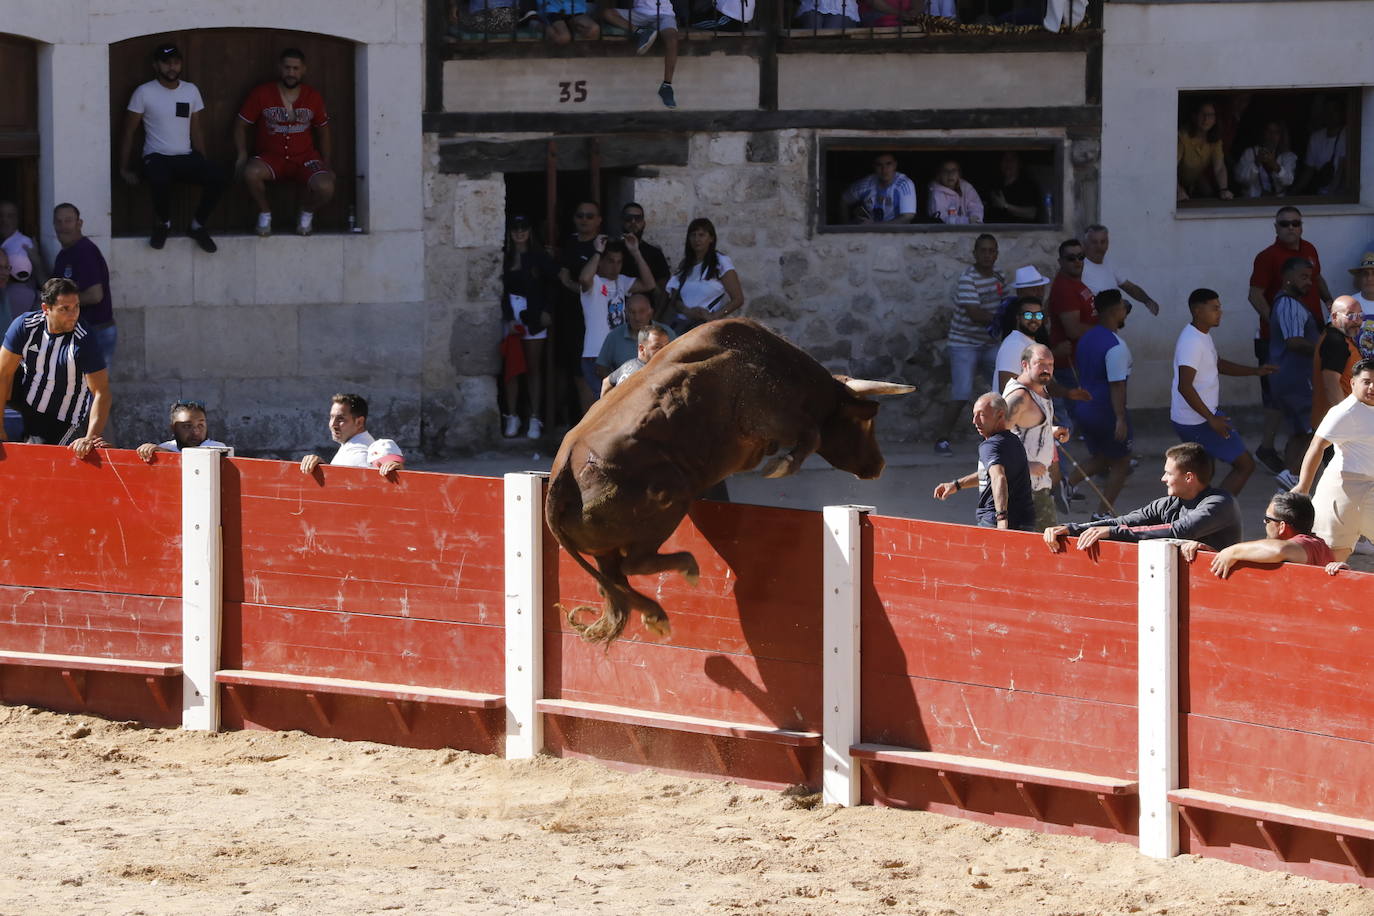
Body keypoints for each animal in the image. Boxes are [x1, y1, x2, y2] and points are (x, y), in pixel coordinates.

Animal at [544, 318, 912, 648]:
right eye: (864, 422)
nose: (878, 466)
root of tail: (562, 477)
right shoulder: (770, 418)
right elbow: (811, 434)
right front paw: (780, 466)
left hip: (605, 549)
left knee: (613, 581)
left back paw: (655, 615)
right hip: (669, 503)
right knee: (634, 563)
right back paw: (686, 571)